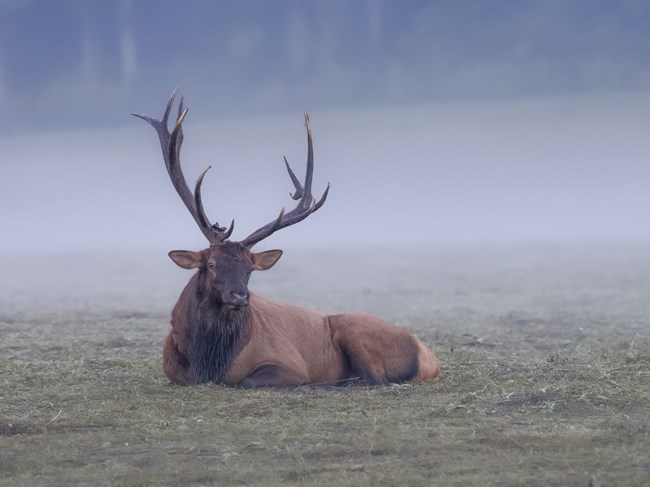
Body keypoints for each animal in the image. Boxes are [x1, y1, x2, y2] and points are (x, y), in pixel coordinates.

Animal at [133, 88, 441, 388]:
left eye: (249, 268)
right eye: (211, 264)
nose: (240, 296)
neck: (207, 363)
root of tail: (429, 357)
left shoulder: (289, 364)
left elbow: (245, 382)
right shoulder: (172, 372)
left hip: (356, 332)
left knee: (374, 379)